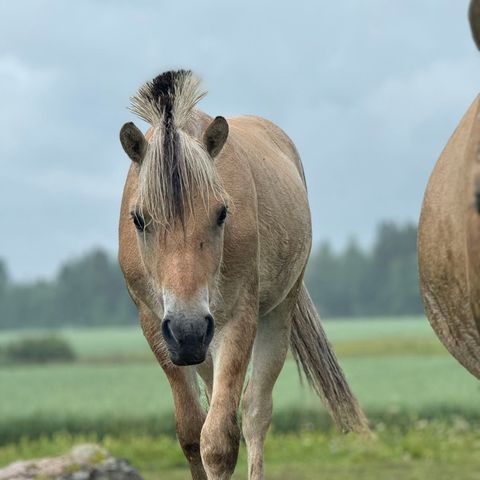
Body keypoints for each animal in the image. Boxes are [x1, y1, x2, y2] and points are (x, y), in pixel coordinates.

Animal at [118, 69, 370, 478]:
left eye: (222, 213)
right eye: (139, 219)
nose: (188, 330)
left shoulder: (238, 320)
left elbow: (219, 440)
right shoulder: (156, 326)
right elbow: (192, 433)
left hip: (277, 313)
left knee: (255, 412)